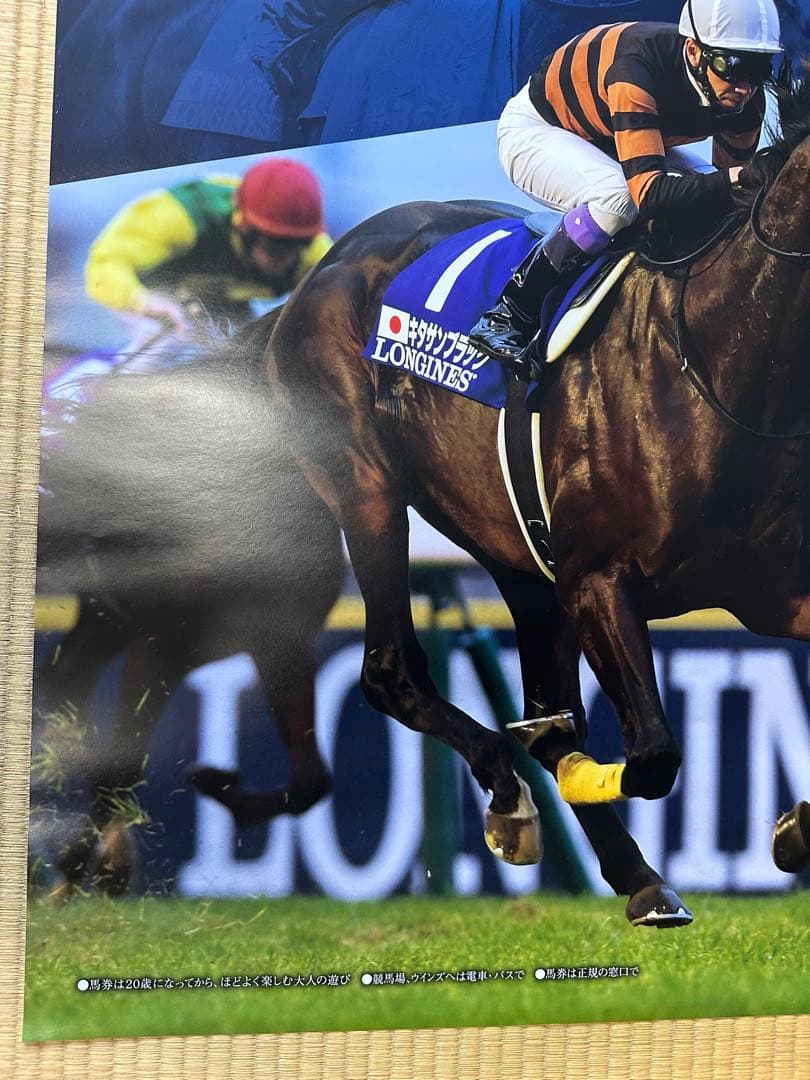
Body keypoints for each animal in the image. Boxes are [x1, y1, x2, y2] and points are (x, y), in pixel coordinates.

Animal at [33, 313, 344, 899]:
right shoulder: (164, 644)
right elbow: (122, 764)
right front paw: (85, 867)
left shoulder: (278, 639)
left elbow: (312, 779)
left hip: (106, 621)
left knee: (65, 684)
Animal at [261, 84, 810, 923]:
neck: (720, 358)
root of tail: (323, 272)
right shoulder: (599, 580)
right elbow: (652, 754)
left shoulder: (775, 588)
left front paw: (794, 828)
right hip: (368, 491)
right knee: (394, 671)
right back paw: (511, 798)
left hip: (517, 554)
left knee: (539, 704)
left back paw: (636, 875)